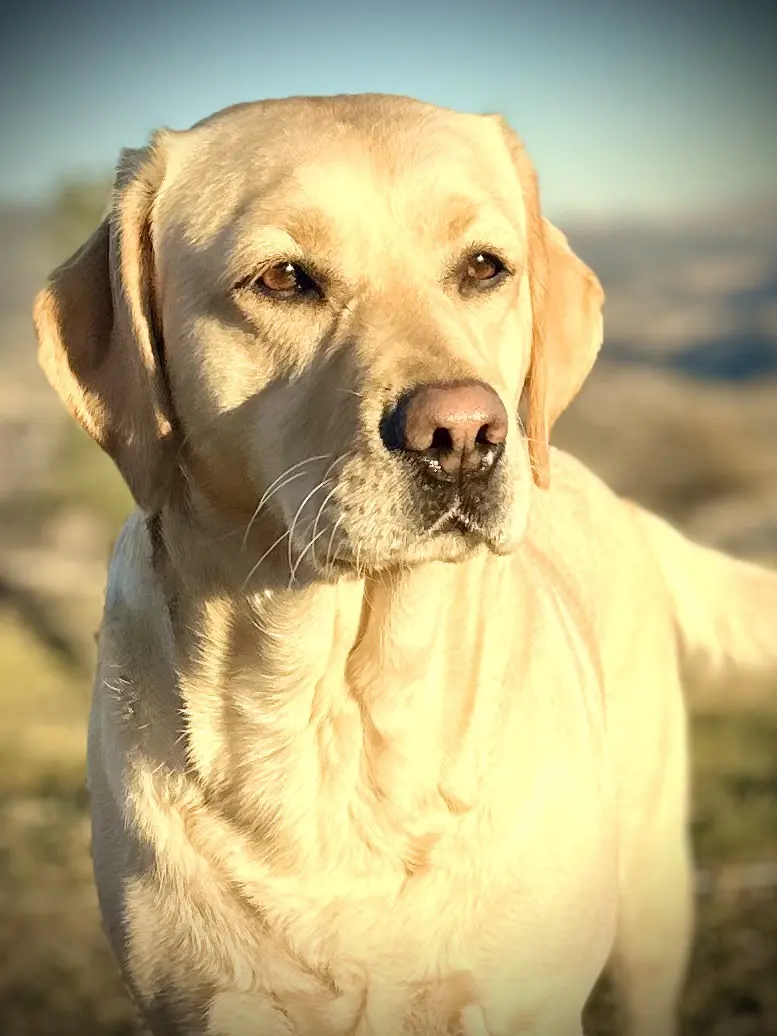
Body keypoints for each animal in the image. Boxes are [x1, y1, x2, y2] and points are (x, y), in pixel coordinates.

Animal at [31, 91, 777, 1036]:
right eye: (282, 279)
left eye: (484, 267)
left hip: (650, 898)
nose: (462, 434)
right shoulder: (198, 1005)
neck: (339, 712)